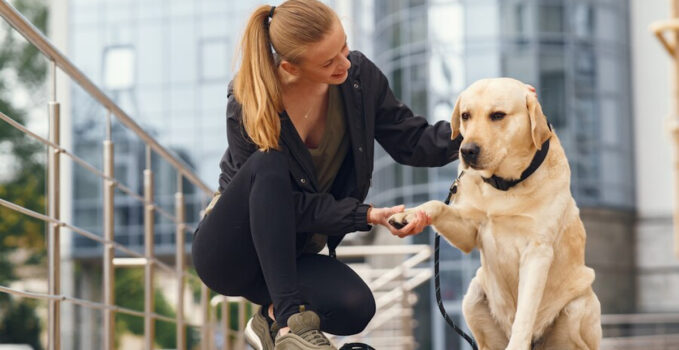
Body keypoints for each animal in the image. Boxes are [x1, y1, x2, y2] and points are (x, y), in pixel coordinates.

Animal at [388, 78, 600, 348]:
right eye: (466, 115)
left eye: (498, 115)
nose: (467, 150)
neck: (505, 184)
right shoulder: (470, 231)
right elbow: (437, 205)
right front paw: (411, 215)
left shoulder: (537, 251)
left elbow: (525, 313)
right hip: (473, 295)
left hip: (577, 308)